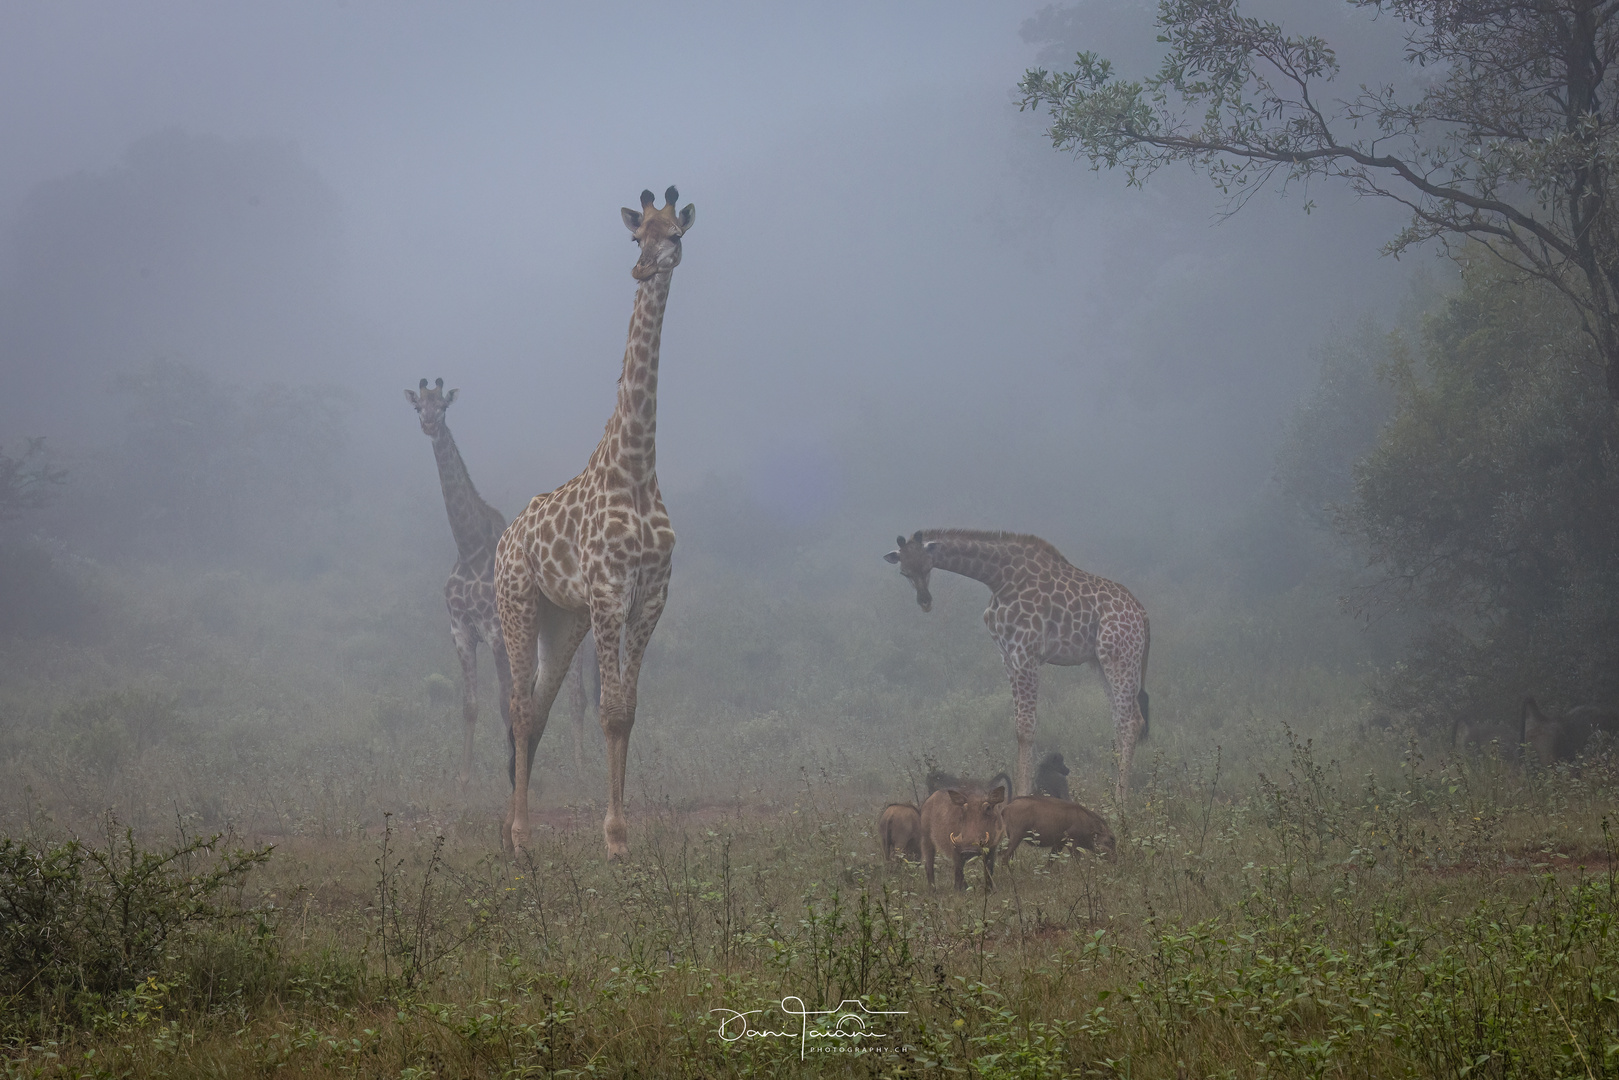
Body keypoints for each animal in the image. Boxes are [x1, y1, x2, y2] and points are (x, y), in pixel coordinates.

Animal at [404, 380, 511, 786]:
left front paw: (511, 775)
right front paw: (463, 780)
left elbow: (505, 705)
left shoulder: (496, 632)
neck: (469, 547)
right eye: (418, 407)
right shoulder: (461, 632)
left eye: (444, 406)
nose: (430, 425)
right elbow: (470, 705)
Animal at [495, 187, 692, 861]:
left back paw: (521, 831)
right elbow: (609, 711)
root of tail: (503, 541)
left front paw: (622, 833)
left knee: (538, 710)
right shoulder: (609, 592)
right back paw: (520, 838)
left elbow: (626, 711)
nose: (643, 268)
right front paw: (614, 838)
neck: (635, 468)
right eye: (636, 236)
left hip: (564, 619)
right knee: (518, 708)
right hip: (518, 604)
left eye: (675, 235)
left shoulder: (650, 597)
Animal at [887, 527, 1152, 806]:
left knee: (1132, 720)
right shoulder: (1006, 655)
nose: (925, 602)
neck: (997, 578)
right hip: (1099, 661)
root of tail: (1142, 614)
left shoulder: (1027, 652)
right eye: (904, 572)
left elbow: (1027, 727)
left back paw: (1121, 799)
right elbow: (1017, 727)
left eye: (928, 566)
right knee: (1120, 719)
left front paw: (1023, 794)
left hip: (1120, 655)